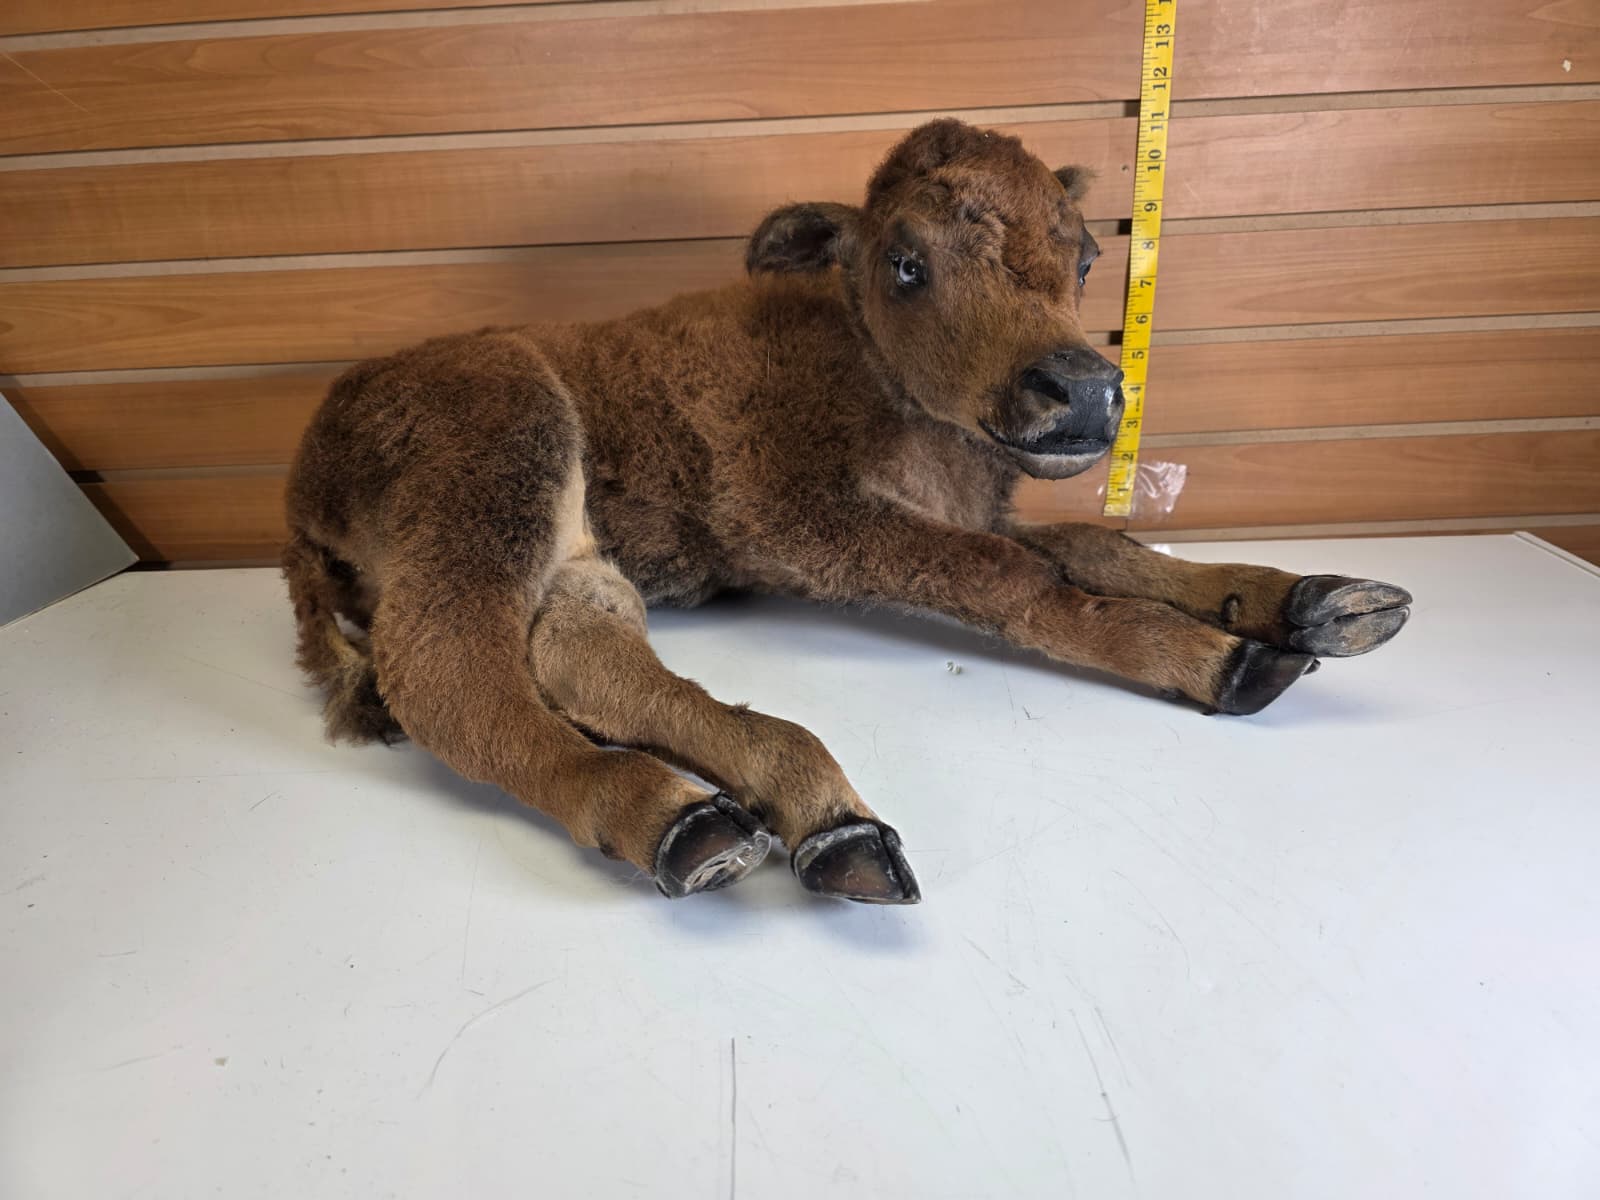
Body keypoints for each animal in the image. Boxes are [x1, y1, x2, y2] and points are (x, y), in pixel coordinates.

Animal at [282, 119, 1410, 905]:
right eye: (906, 263)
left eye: (1087, 256)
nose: (1085, 392)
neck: (867, 366)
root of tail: (300, 473)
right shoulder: (810, 521)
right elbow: (1021, 578)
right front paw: (1221, 655)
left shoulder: (970, 506)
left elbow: (1092, 541)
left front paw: (1309, 602)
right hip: (502, 467)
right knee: (449, 673)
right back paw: (682, 824)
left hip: (577, 555)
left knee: (578, 656)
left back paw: (816, 822)